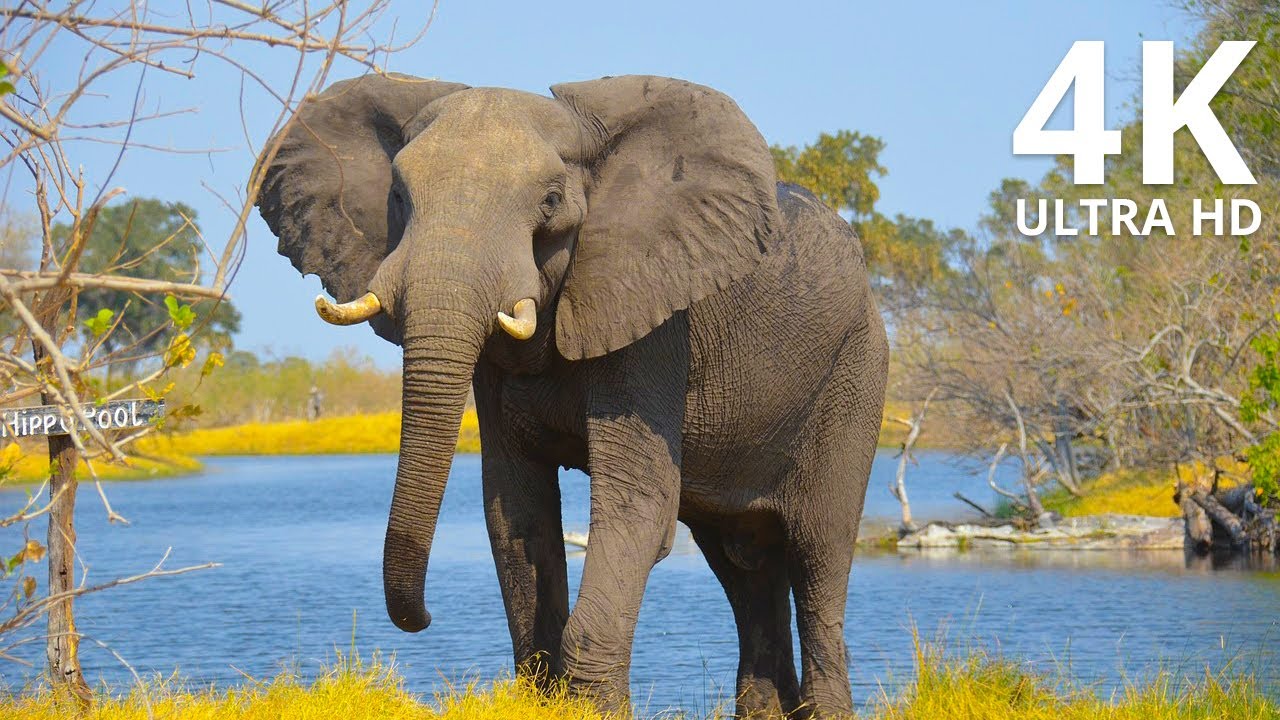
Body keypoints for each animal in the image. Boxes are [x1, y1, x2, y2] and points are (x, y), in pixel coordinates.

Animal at [255, 73, 888, 718]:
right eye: (400, 198)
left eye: (550, 201)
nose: (425, 618)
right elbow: (514, 507)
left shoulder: (653, 319)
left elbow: (638, 503)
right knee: (744, 563)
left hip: (857, 374)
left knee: (818, 553)